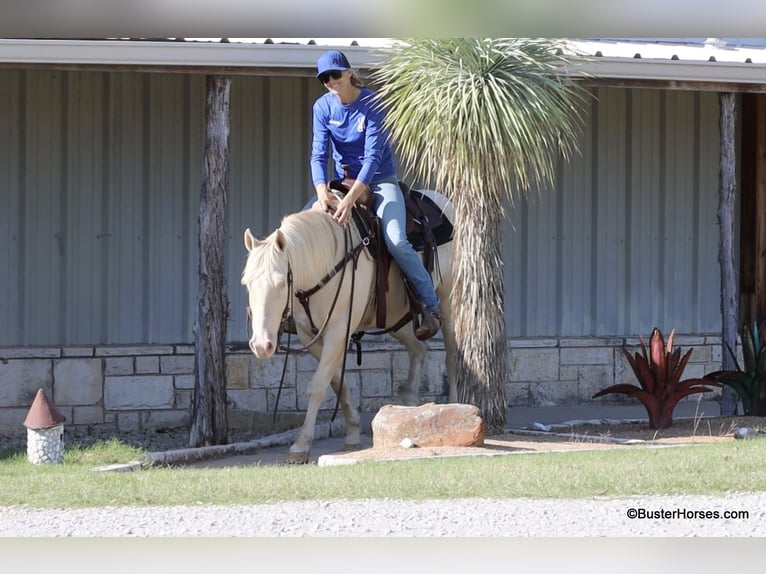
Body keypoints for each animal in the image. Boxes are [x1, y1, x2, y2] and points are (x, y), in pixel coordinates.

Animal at [241, 189, 456, 463]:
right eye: (247, 283)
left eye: (280, 284)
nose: (261, 345)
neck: (323, 264)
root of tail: (441, 200)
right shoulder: (311, 335)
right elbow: (336, 383)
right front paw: (353, 433)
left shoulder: (338, 330)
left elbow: (317, 387)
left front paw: (300, 446)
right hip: (395, 317)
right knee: (418, 349)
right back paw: (406, 408)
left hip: (450, 298)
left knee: (452, 354)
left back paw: (456, 402)